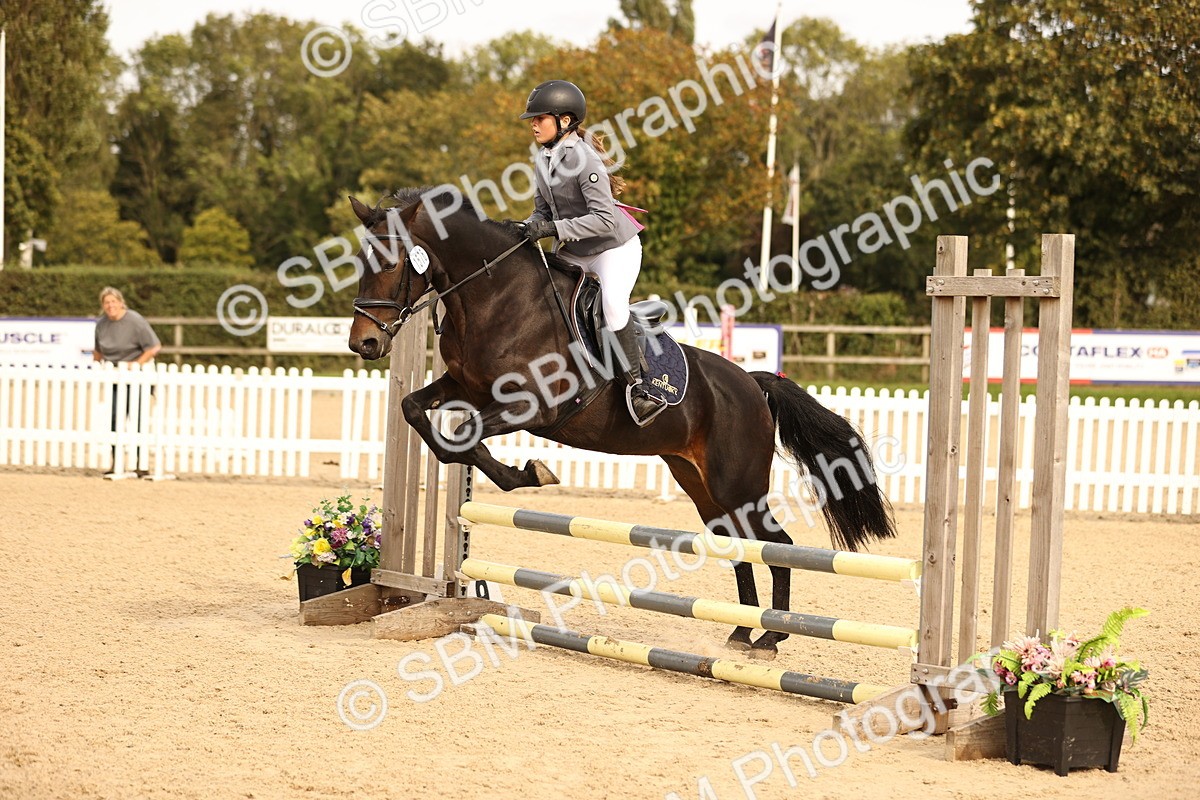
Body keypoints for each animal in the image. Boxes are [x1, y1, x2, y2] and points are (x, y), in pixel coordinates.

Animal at [347, 187, 896, 659]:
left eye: (392, 262)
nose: (364, 344)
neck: (495, 298)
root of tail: (752, 383)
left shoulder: (535, 406)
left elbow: (463, 434)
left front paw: (529, 474)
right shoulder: (468, 390)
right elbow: (416, 412)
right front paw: (514, 472)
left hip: (737, 484)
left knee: (776, 545)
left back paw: (772, 637)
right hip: (702, 485)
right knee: (742, 547)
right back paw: (741, 634)